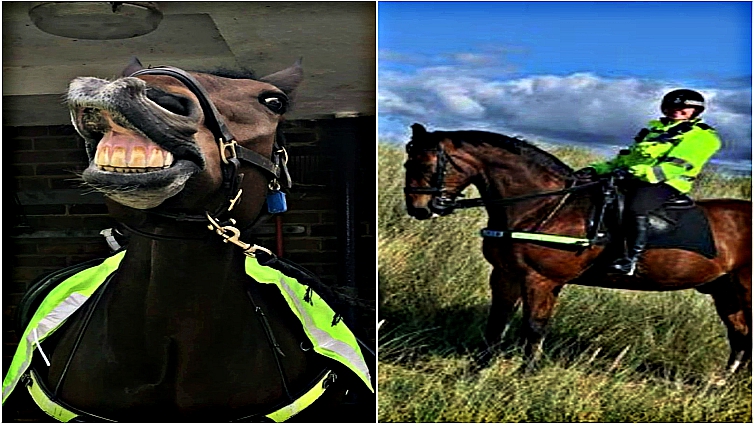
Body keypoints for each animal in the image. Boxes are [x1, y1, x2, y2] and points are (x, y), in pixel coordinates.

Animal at [403, 123, 751, 377]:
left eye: (428, 164)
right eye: (408, 162)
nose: (418, 209)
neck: (543, 205)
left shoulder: (540, 279)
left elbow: (533, 328)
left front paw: (525, 376)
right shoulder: (505, 275)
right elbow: (497, 323)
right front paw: (476, 372)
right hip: (725, 292)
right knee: (740, 335)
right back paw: (725, 384)